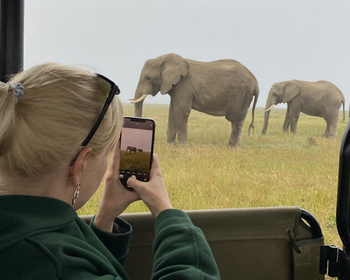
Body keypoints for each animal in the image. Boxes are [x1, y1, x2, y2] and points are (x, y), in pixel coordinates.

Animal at [130, 53, 258, 147]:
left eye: (148, 78)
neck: (162, 59)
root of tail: (255, 81)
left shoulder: (184, 85)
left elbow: (180, 111)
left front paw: (181, 147)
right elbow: (172, 112)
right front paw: (170, 145)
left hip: (241, 94)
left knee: (235, 119)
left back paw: (230, 147)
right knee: (238, 120)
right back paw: (237, 147)